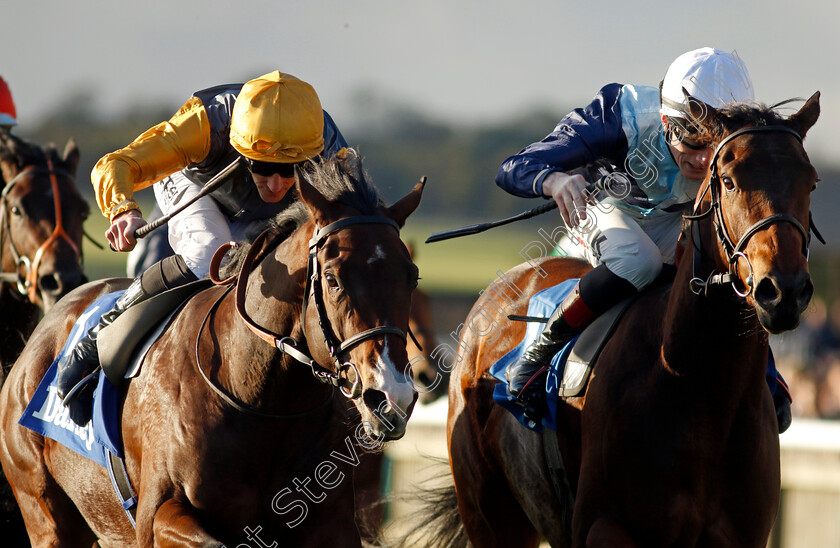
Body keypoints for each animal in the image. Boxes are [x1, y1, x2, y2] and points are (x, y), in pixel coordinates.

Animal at [442, 92, 824, 544]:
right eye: (729, 180)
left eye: (811, 182)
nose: (783, 290)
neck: (702, 393)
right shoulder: (607, 526)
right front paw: (564, 185)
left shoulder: (743, 533)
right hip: (491, 512)